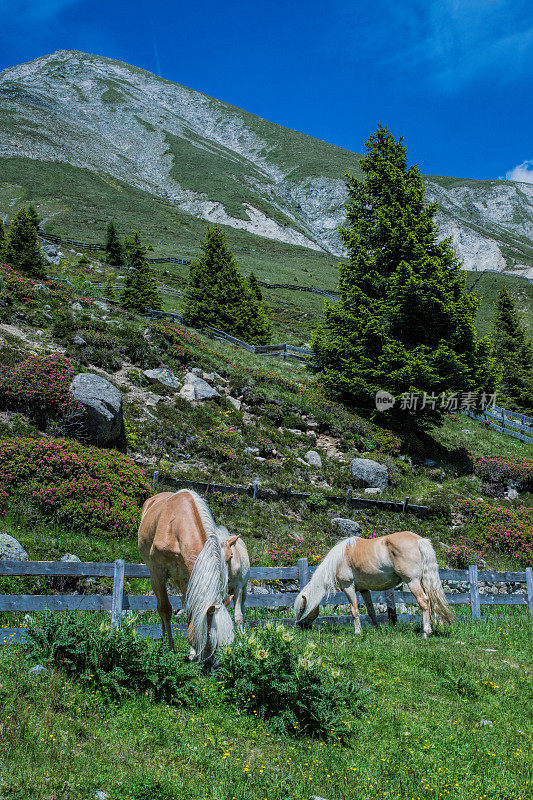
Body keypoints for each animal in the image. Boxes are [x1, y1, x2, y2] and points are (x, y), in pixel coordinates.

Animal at [138, 490, 234, 664]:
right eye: (209, 636)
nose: (213, 664)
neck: (175, 527)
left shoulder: (190, 577)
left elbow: (192, 611)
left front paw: (192, 652)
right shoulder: (158, 572)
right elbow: (165, 609)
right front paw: (170, 648)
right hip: (155, 576)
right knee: (160, 605)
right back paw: (164, 638)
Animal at [294, 532, 450, 636]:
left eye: (301, 609)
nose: (298, 626)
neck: (339, 559)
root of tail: (419, 540)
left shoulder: (348, 587)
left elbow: (354, 610)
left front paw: (357, 632)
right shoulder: (364, 590)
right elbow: (371, 611)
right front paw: (377, 629)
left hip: (412, 582)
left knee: (423, 601)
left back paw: (426, 632)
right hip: (422, 582)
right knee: (429, 602)